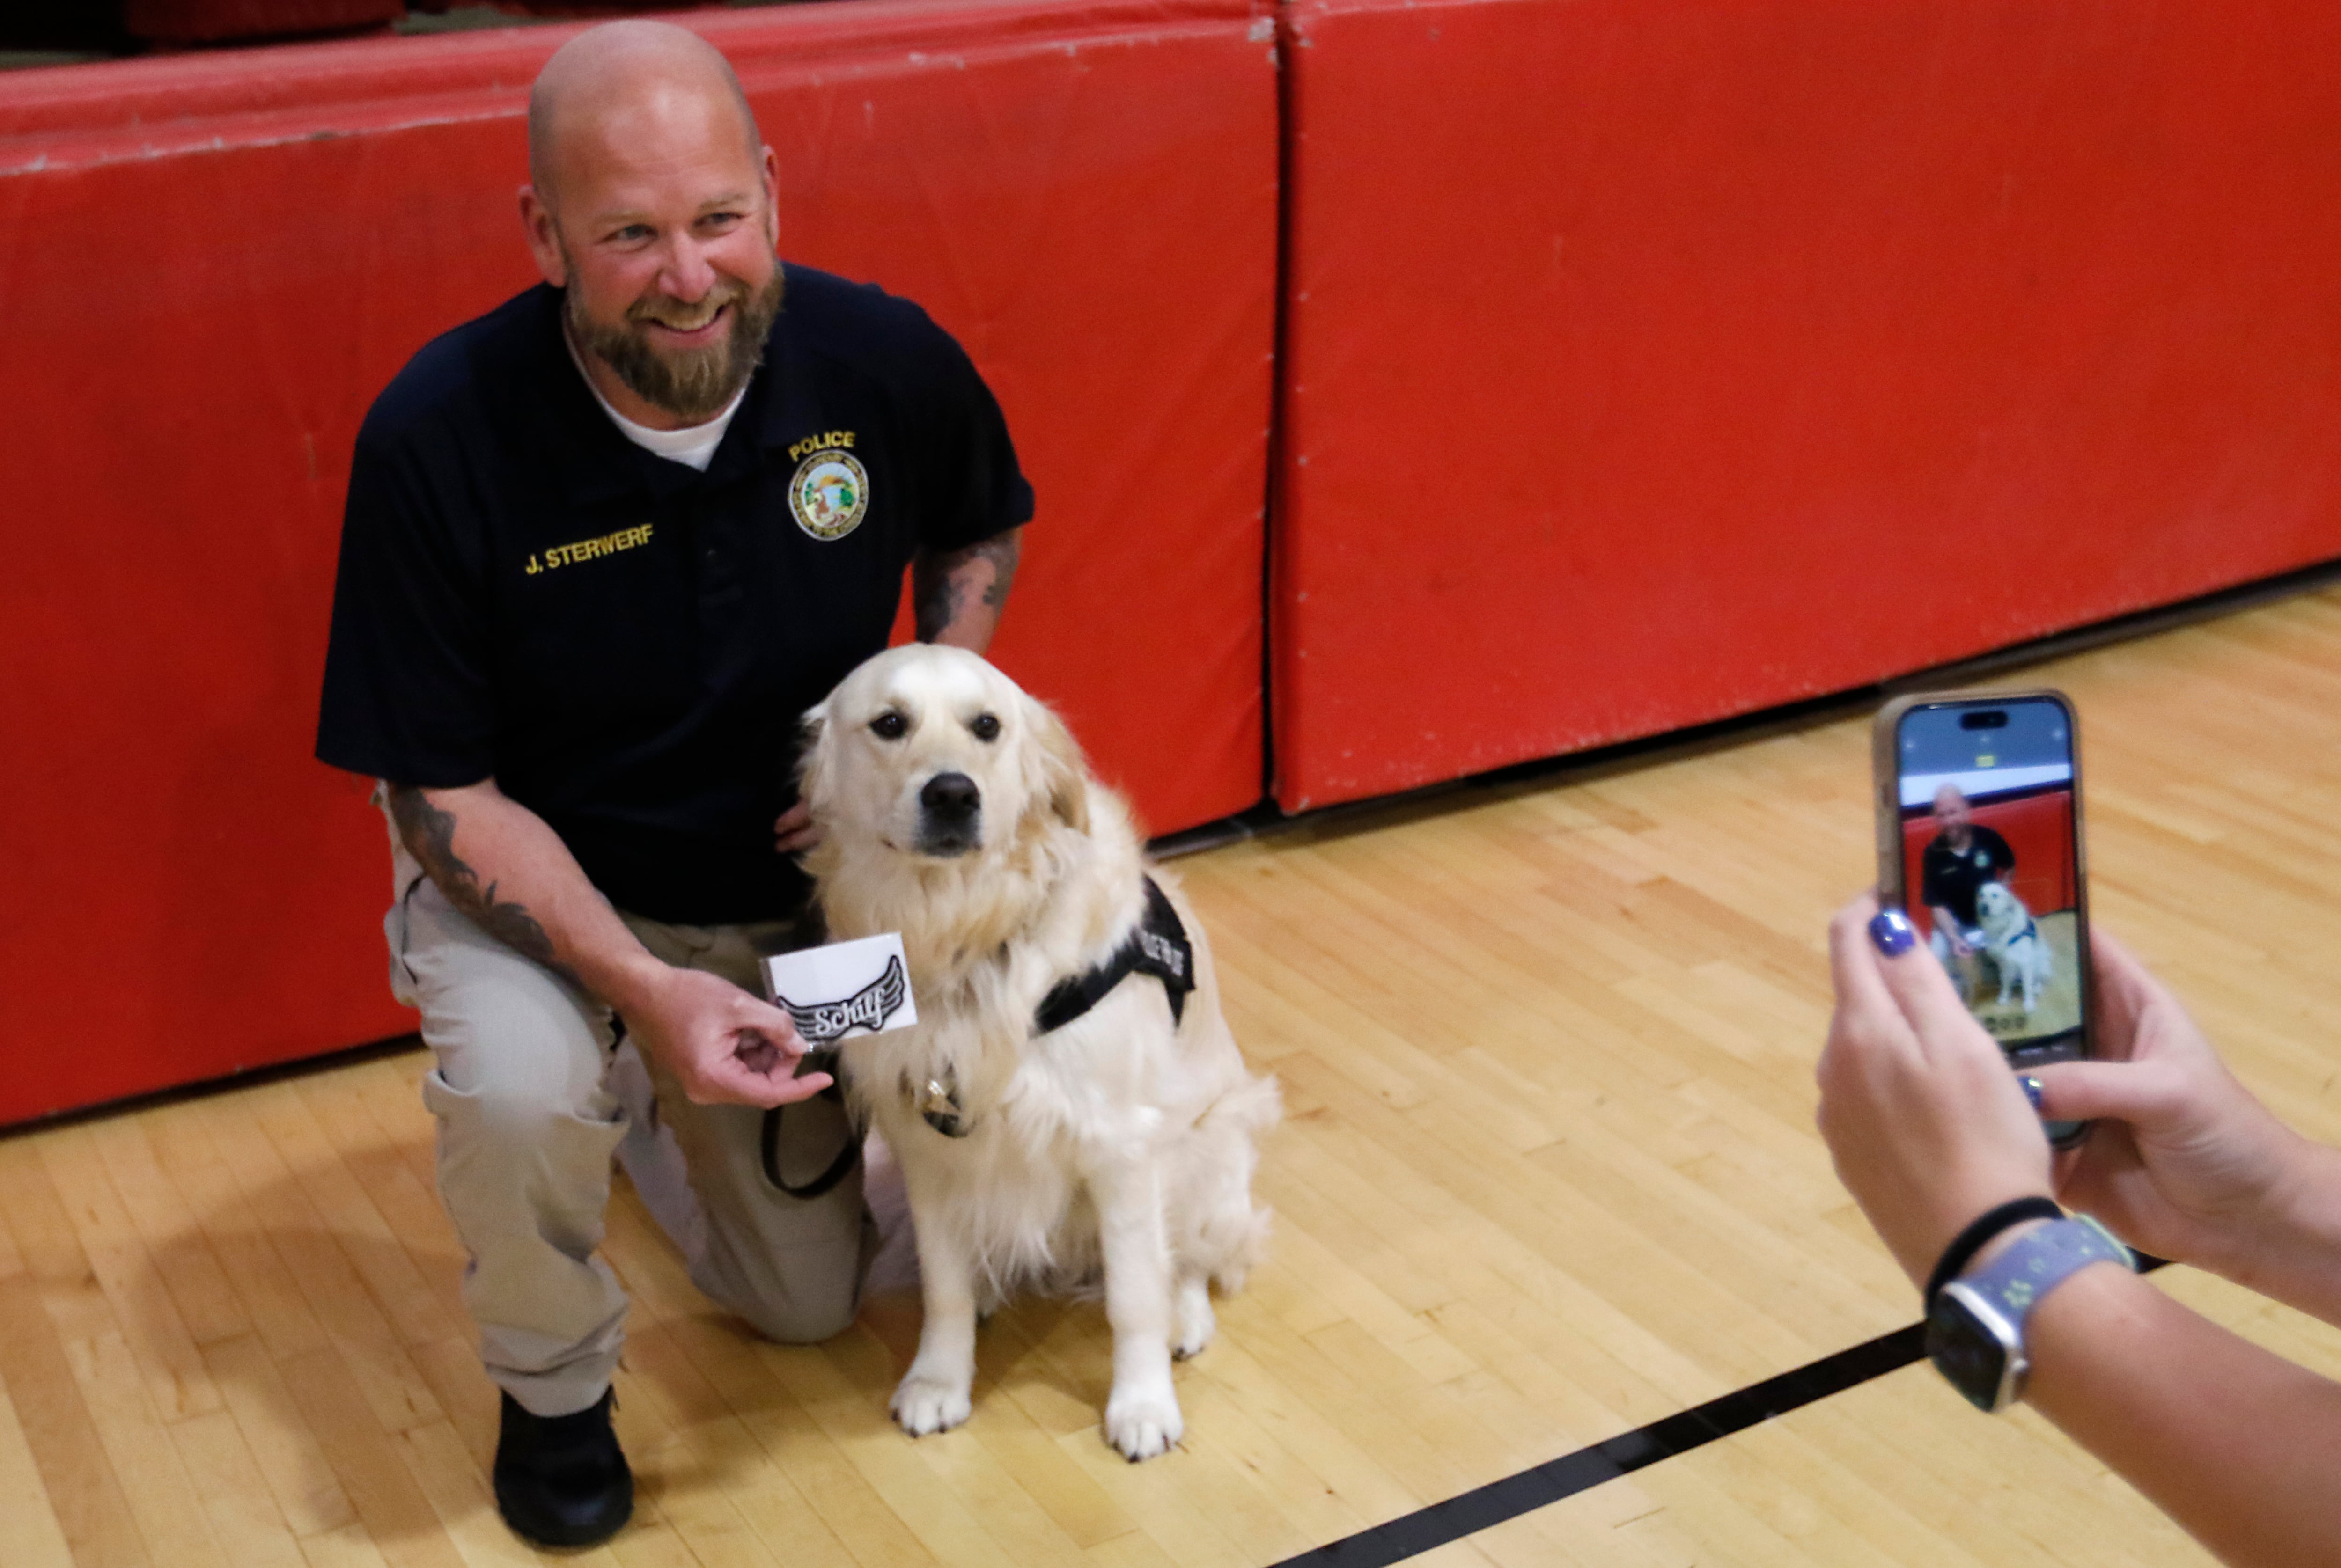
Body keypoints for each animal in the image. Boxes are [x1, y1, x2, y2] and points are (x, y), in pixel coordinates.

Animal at [805, 637, 1283, 1460]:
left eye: (987, 725)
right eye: (890, 723)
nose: (953, 794)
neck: (965, 929)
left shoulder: (1121, 1144)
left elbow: (1134, 1296)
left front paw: (1142, 1404)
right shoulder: (927, 1145)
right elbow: (944, 1286)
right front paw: (939, 1378)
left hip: (1209, 1144)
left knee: (1188, 1258)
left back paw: (1185, 1316)